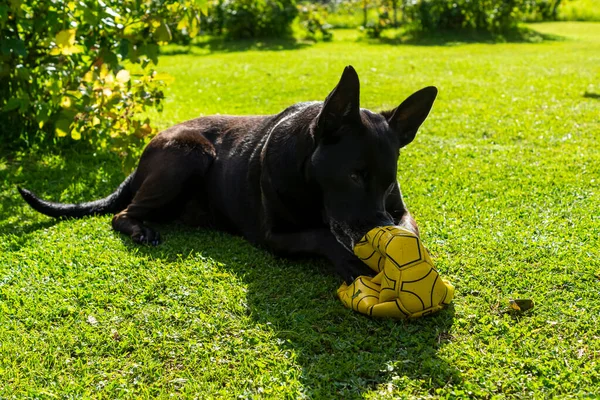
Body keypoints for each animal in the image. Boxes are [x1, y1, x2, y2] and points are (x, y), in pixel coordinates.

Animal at [18, 65, 436, 282]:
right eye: (353, 176)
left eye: (388, 182)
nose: (377, 231)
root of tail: (142, 157)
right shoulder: (273, 236)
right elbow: (322, 236)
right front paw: (352, 261)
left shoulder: (398, 210)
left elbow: (409, 230)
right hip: (188, 153)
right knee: (123, 213)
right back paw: (141, 230)